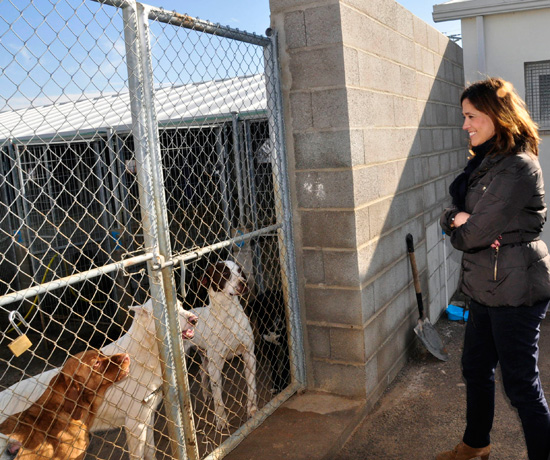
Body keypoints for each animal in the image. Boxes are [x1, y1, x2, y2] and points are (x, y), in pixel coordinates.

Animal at [190, 260, 258, 430]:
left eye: (240, 271)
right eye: (225, 274)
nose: (244, 283)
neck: (229, 314)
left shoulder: (249, 355)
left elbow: (252, 387)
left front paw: (253, 410)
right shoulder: (216, 364)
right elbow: (218, 398)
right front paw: (221, 420)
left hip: (205, 356)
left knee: (202, 371)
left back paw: (206, 394)